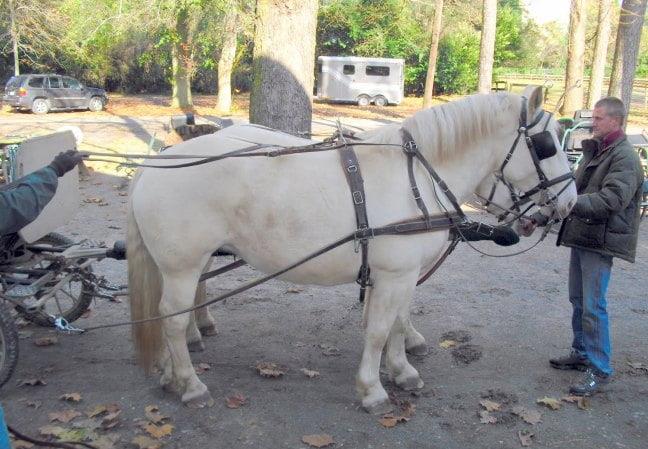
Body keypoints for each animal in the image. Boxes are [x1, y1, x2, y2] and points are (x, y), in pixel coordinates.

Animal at [127, 85, 577, 413]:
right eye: (546, 145)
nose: (570, 203)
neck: (416, 179)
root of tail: (157, 162)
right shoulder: (395, 276)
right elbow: (379, 330)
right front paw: (372, 388)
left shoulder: (401, 276)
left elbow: (397, 324)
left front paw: (402, 370)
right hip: (182, 266)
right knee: (170, 318)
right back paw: (190, 383)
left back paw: (170, 372)